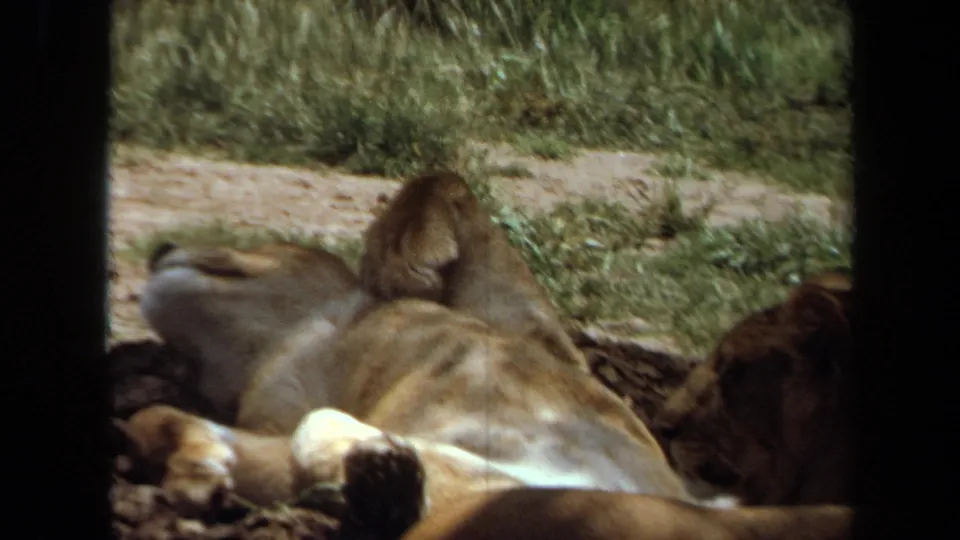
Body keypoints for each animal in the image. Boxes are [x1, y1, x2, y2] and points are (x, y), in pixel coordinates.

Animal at [118, 172, 706, 520]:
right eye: (189, 369)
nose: (161, 247)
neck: (301, 339)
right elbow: (153, 416)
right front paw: (196, 468)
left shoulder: (538, 334)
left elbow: (439, 180)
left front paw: (399, 266)